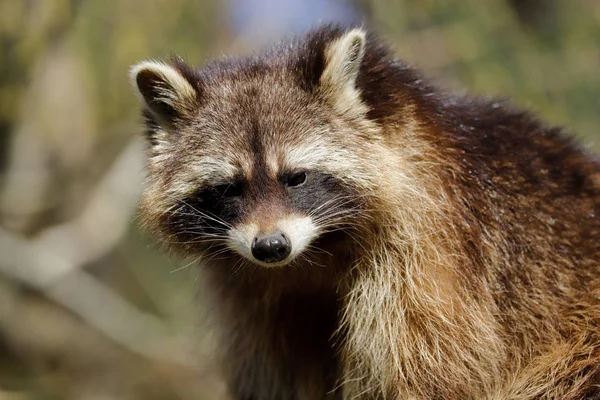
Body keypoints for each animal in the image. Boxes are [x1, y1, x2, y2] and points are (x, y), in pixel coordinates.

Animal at [127, 25, 600, 400]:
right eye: (228, 187)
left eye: (296, 177)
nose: (271, 246)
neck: (314, 253)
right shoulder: (249, 297)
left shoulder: (429, 252)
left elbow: (432, 372)